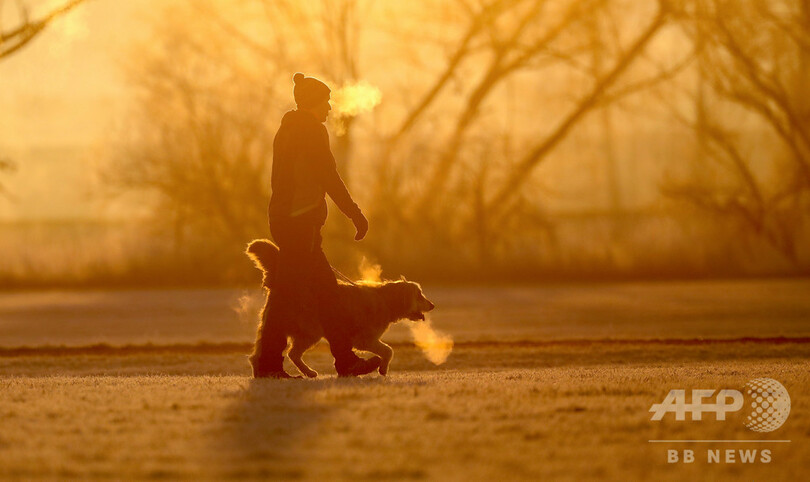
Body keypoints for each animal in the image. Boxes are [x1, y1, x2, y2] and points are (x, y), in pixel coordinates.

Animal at [246, 239, 436, 378]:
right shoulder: (364, 340)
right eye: (419, 295)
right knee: (286, 353)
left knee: (281, 353)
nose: (432, 305)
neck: (386, 300)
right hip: (310, 330)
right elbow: (388, 350)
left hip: (300, 332)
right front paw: (382, 369)